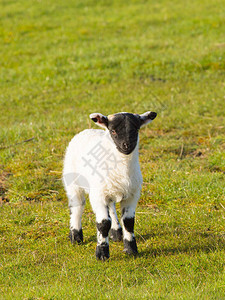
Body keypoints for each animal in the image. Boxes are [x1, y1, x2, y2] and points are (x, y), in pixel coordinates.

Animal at [61, 110, 156, 260]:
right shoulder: (98, 196)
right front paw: (102, 253)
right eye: (113, 131)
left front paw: (131, 249)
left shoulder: (132, 195)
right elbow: (103, 223)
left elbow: (128, 222)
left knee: (111, 207)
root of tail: (87, 130)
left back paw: (116, 233)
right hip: (73, 182)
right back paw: (76, 236)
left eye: (136, 129)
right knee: (76, 206)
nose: (126, 145)